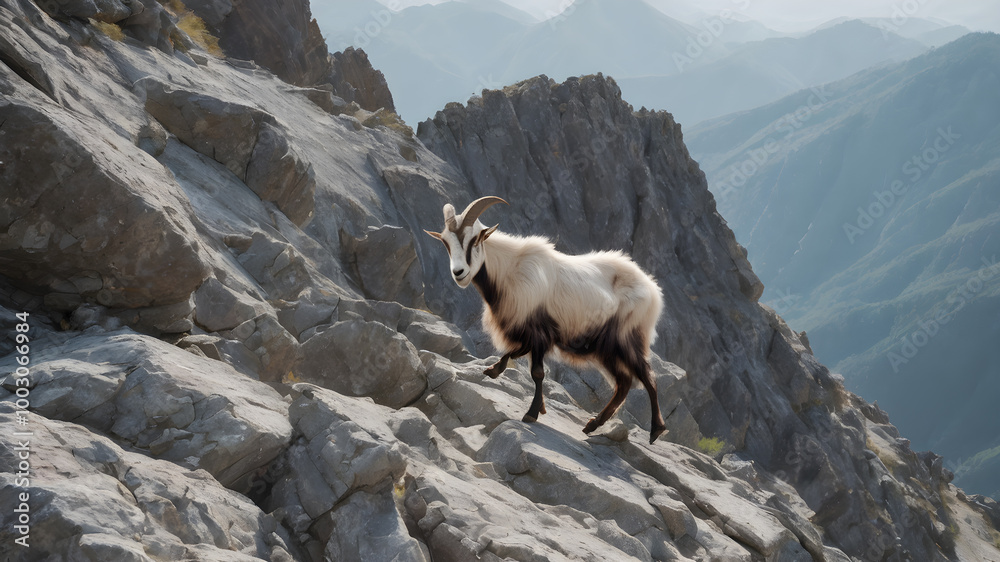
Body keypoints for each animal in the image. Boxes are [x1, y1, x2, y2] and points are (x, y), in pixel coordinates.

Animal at [425, 196, 667, 443]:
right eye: (445, 242)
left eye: (474, 240)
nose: (459, 273)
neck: (511, 269)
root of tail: (653, 290)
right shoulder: (528, 332)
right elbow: (517, 353)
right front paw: (496, 372)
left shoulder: (538, 331)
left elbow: (537, 372)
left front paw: (531, 413)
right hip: (606, 349)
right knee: (624, 382)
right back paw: (592, 425)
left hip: (626, 339)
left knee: (647, 376)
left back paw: (656, 430)